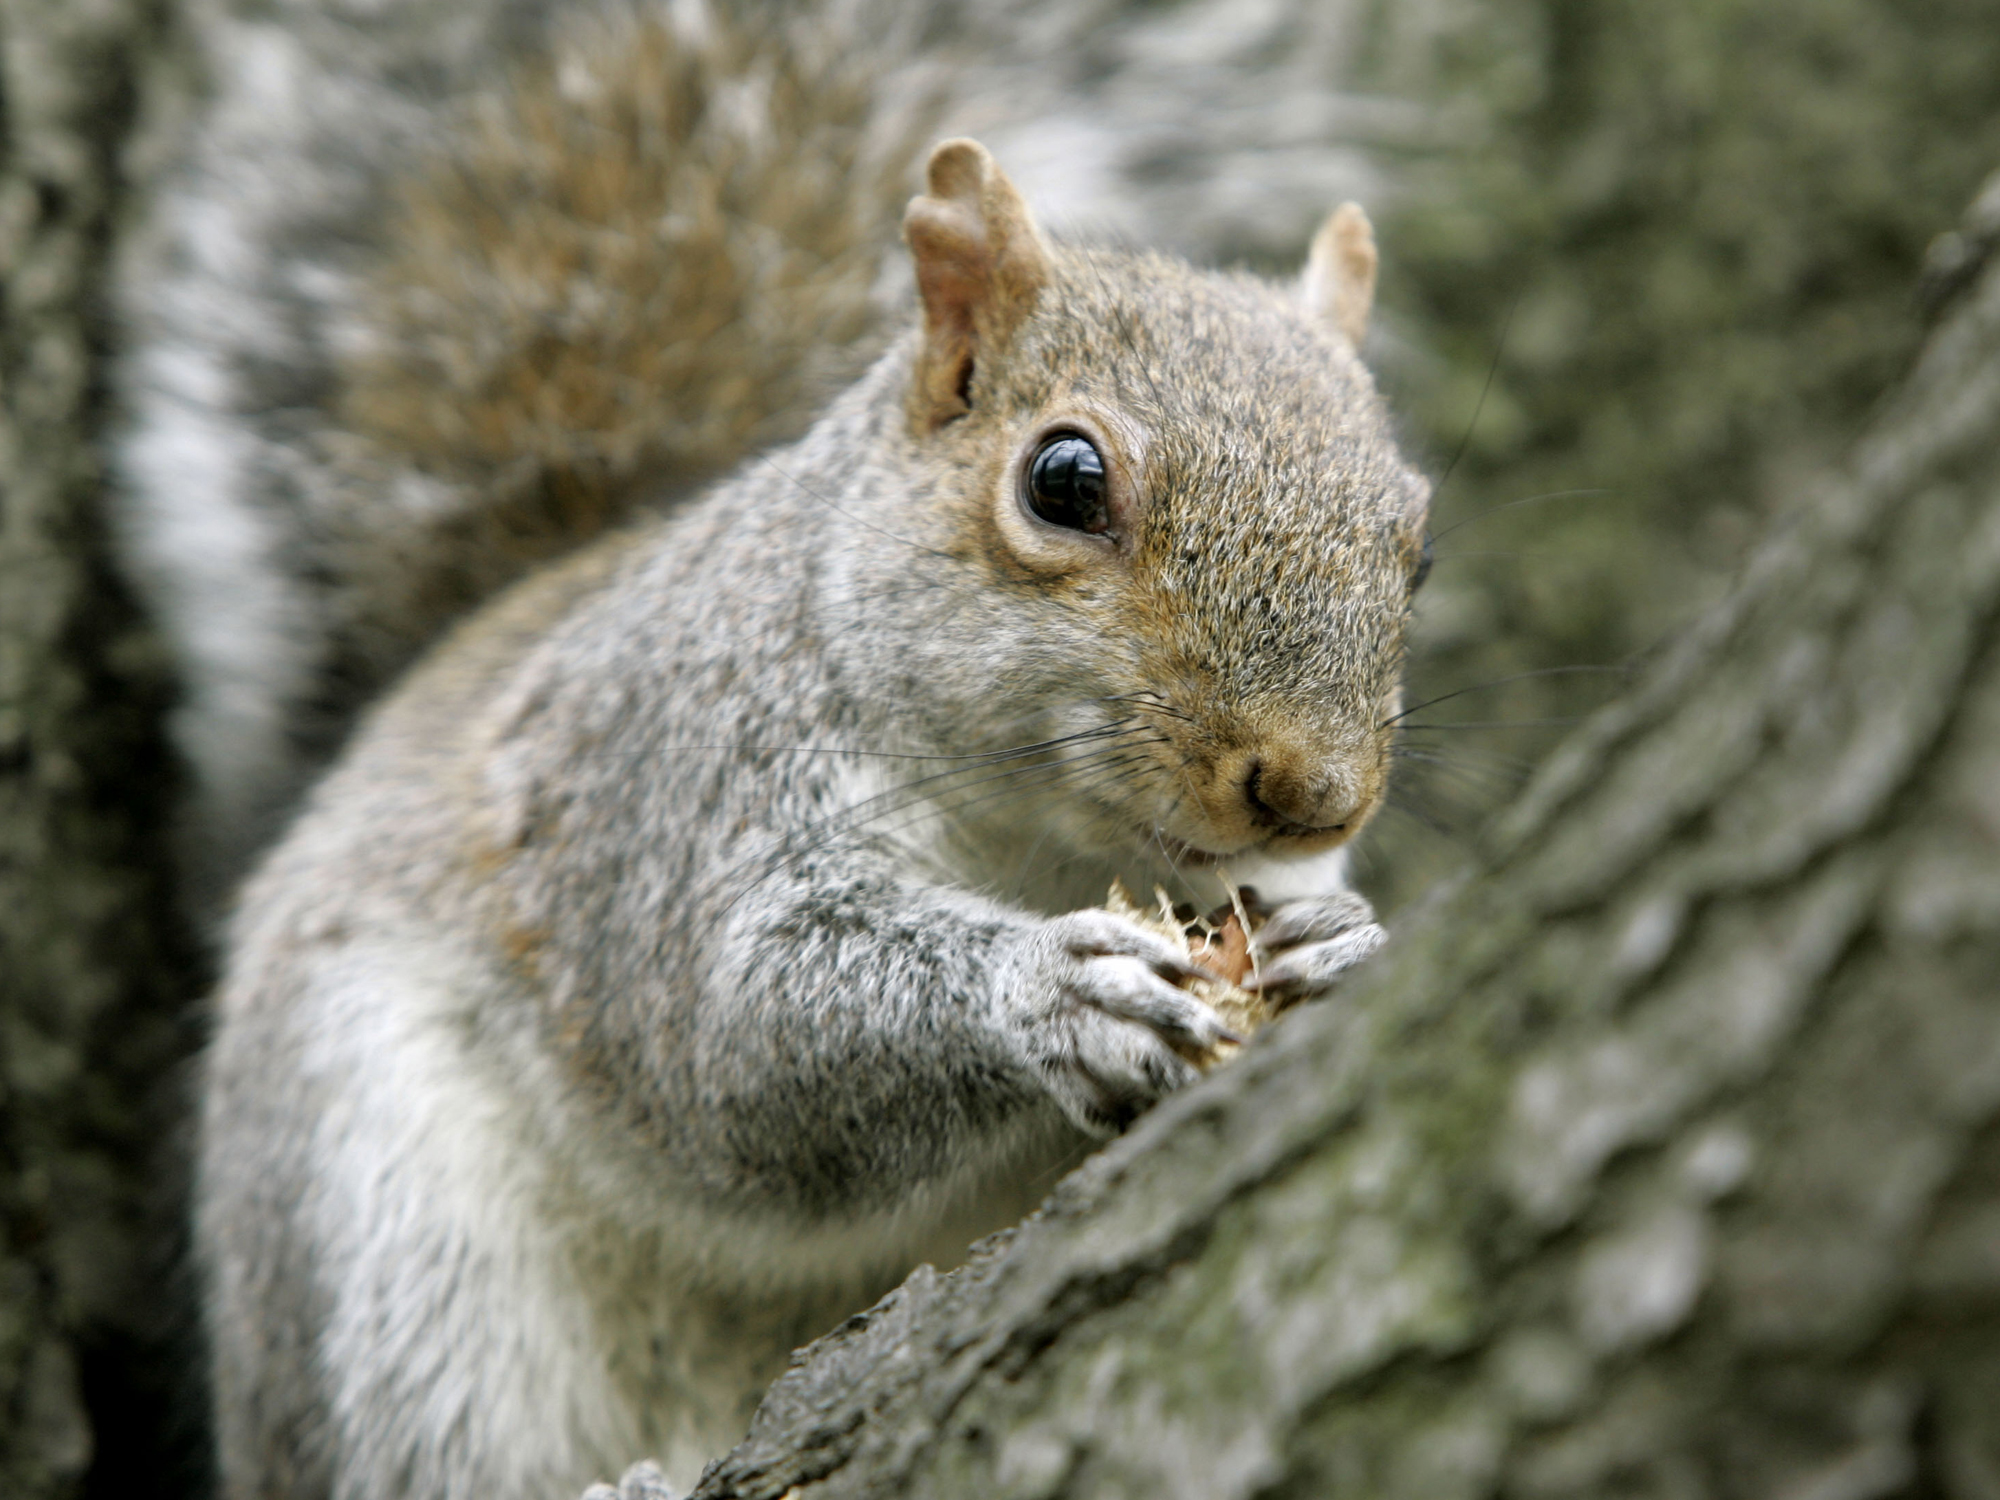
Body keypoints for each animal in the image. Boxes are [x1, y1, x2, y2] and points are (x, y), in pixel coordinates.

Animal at [114, 2, 1429, 1496]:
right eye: (1064, 480)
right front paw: (1051, 991)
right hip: (379, 1220)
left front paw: (1341, 944)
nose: (1312, 795)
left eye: (1419, 542)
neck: (1032, 835)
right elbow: (735, 1036)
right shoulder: (663, 794)